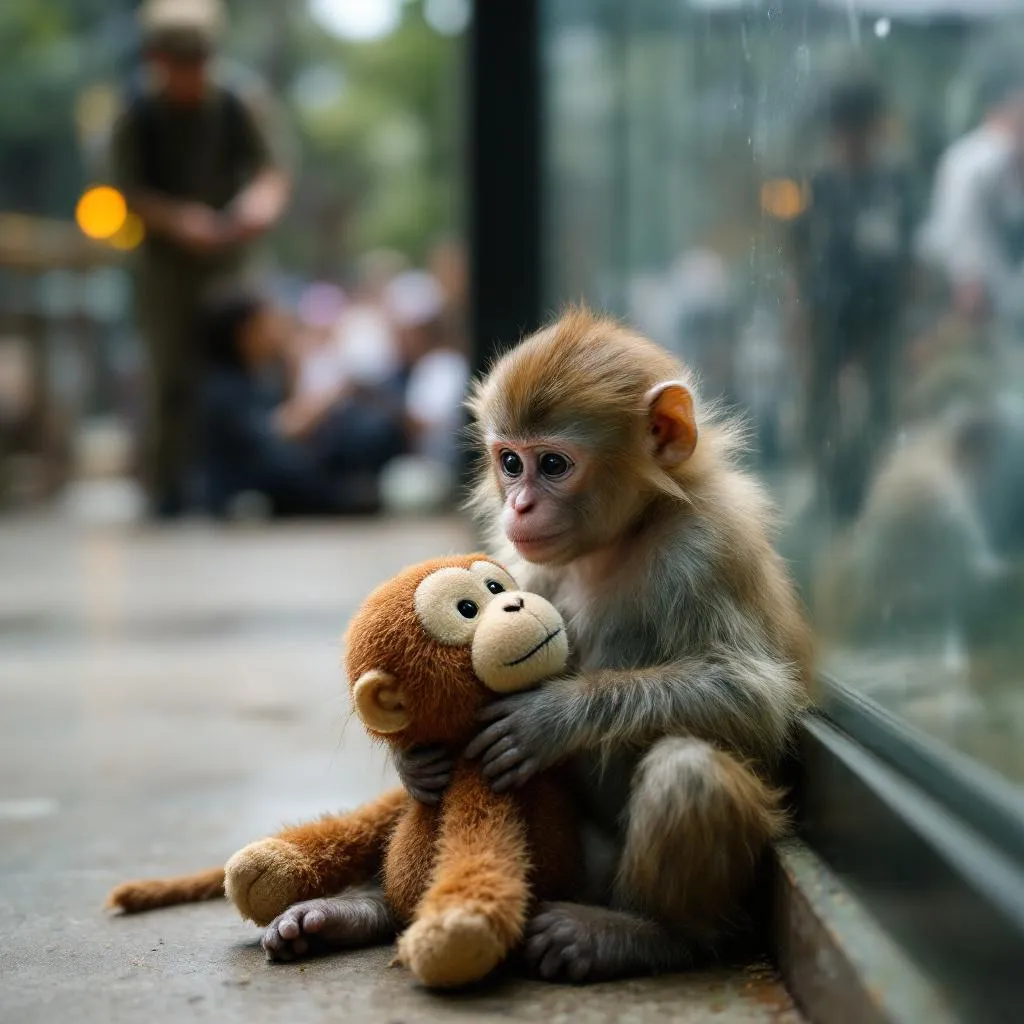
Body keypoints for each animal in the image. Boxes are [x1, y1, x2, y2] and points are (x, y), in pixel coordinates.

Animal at [385, 307, 815, 983]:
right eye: (511, 462)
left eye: (554, 465)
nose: (519, 505)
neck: (623, 537)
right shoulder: (528, 565)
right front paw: (412, 761)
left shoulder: (705, 546)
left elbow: (755, 697)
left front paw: (550, 718)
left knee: (689, 770)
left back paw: (648, 935)